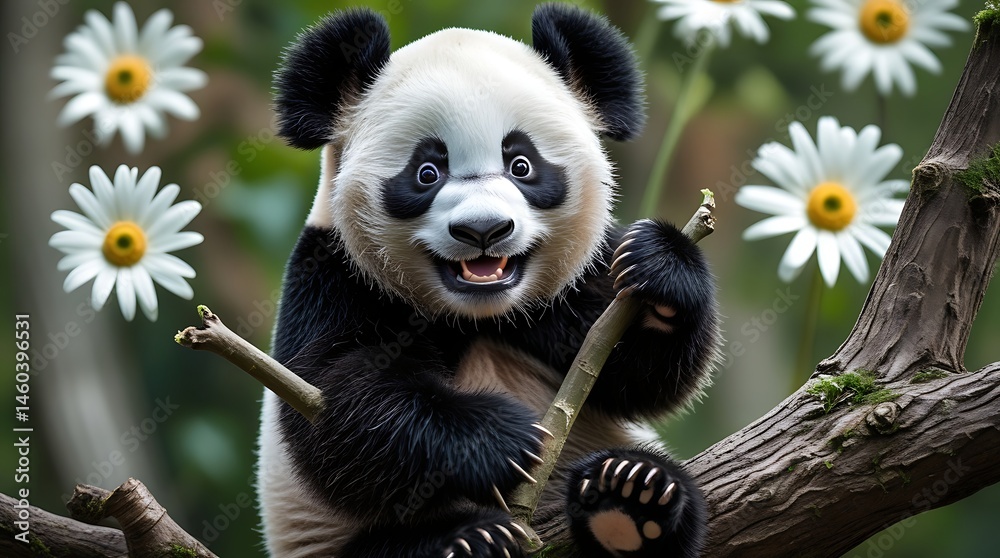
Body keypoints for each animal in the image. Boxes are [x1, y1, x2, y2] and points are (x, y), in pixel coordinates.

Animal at [256, 4, 720, 557]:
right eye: (427, 172)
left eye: (521, 164)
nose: (483, 230)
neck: (477, 312)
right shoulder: (332, 276)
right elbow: (330, 404)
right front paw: (500, 440)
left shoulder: (567, 293)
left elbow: (639, 374)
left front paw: (658, 273)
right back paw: (472, 540)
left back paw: (631, 496)